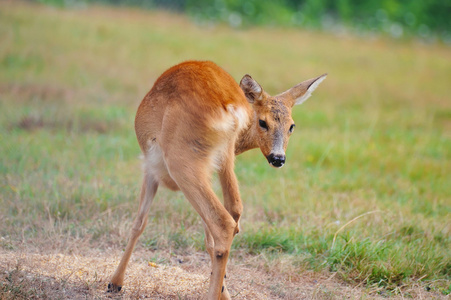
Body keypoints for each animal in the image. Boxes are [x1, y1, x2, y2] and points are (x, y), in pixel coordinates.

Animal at [107, 60, 326, 298]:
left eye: (291, 126)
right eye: (263, 122)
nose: (278, 158)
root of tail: (229, 105)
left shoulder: (150, 167)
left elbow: (139, 223)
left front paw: (115, 283)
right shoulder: (212, 167)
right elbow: (211, 235)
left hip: (180, 159)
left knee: (222, 222)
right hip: (221, 157)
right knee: (234, 210)